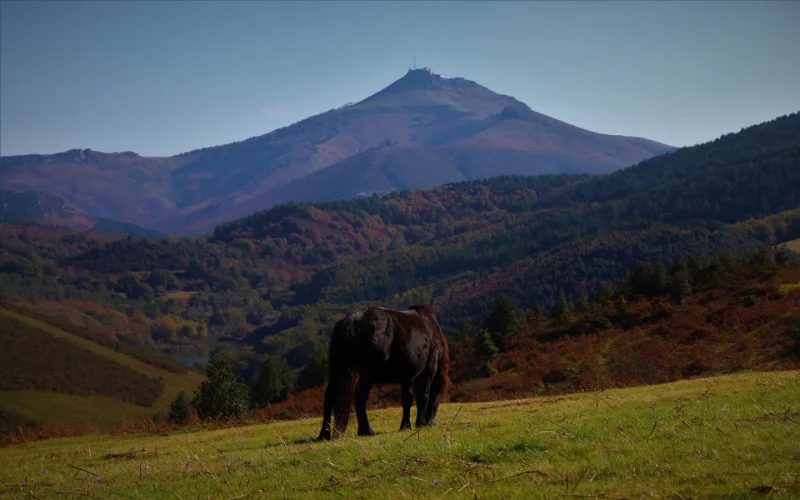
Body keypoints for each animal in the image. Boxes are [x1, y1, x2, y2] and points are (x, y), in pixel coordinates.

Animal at [317, 304, 450, 440]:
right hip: (367, 375)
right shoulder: (429, 369)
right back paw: (367, 431)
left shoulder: (407, 376)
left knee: (329, 397)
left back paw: (324, 434)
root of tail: (352, 320)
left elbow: (407, 399)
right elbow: (423, 396)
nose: (432, 423)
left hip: (337, 371)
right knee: (360, 398)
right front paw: (421, 424)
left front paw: (406, 426)